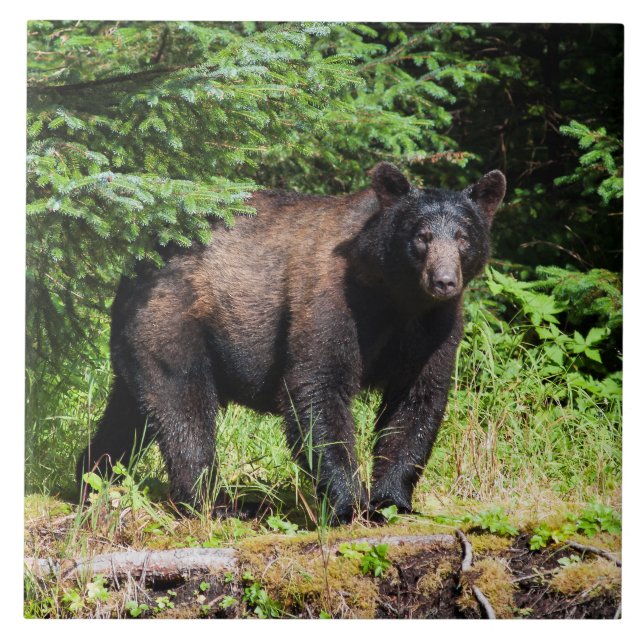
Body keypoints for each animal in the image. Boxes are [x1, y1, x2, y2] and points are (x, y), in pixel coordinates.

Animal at [77, 162, 506, 523]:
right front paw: (348, 505)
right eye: (422, 237)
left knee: (130, 412)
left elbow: (416, 401)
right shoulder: (332, 300)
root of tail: (135, 264)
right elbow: (318, 387)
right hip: (174, 321)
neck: (396, 298)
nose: (444, 280)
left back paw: (92, 476)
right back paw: (216, 504)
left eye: (463, 237)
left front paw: (391, 500)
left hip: (141, 340)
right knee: (184, 407)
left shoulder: (433, 328)